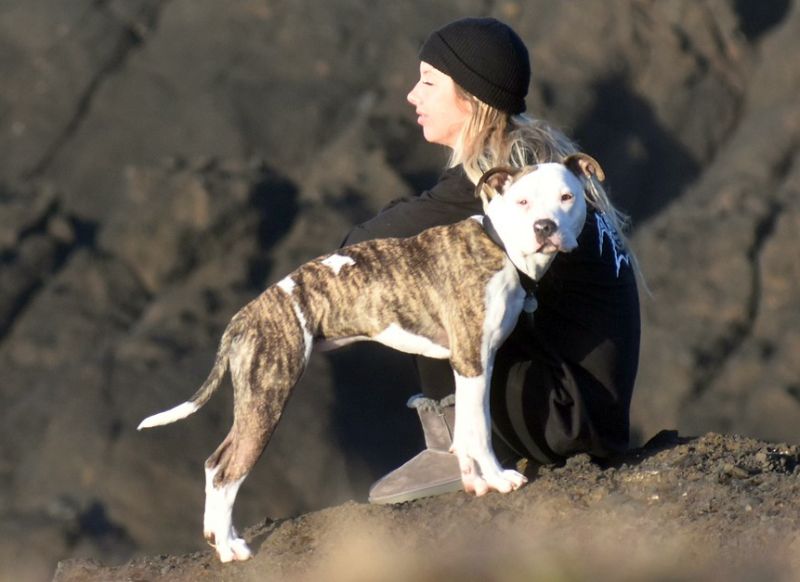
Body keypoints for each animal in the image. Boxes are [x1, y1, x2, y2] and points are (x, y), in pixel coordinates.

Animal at [138, 153, 604, 564]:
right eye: (522, 201)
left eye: (567, 197)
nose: (545, 227)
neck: (499, 244)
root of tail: (245, 314)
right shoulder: (473, 361)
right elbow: (481, 429)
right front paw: (499, 480)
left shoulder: (469, 365)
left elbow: (467, 431)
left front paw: (475, 483)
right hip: (268, 396)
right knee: (227, 473)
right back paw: (230, 550)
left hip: (255, 398)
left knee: (215, 462)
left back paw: (220, 536)